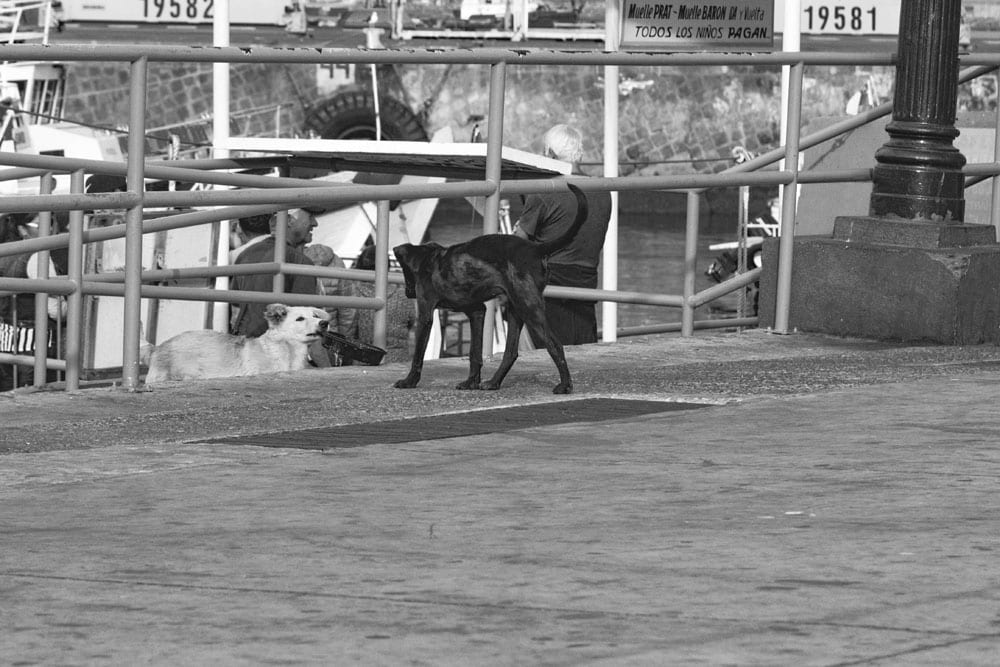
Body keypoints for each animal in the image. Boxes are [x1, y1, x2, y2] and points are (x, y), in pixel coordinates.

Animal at [394, 185, 588, 394]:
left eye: (404, 271)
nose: (408, 293)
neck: (428, 258)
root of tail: (536, 249)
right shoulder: (477, 311)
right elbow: (474, 353)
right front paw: (471, 382)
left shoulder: (425, 314)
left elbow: (418, 355)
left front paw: (409, 381)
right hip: (515, 309)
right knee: (510, 352)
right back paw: (493, 382)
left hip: (528, 307)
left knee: (555, 345)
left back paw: (565, 385)